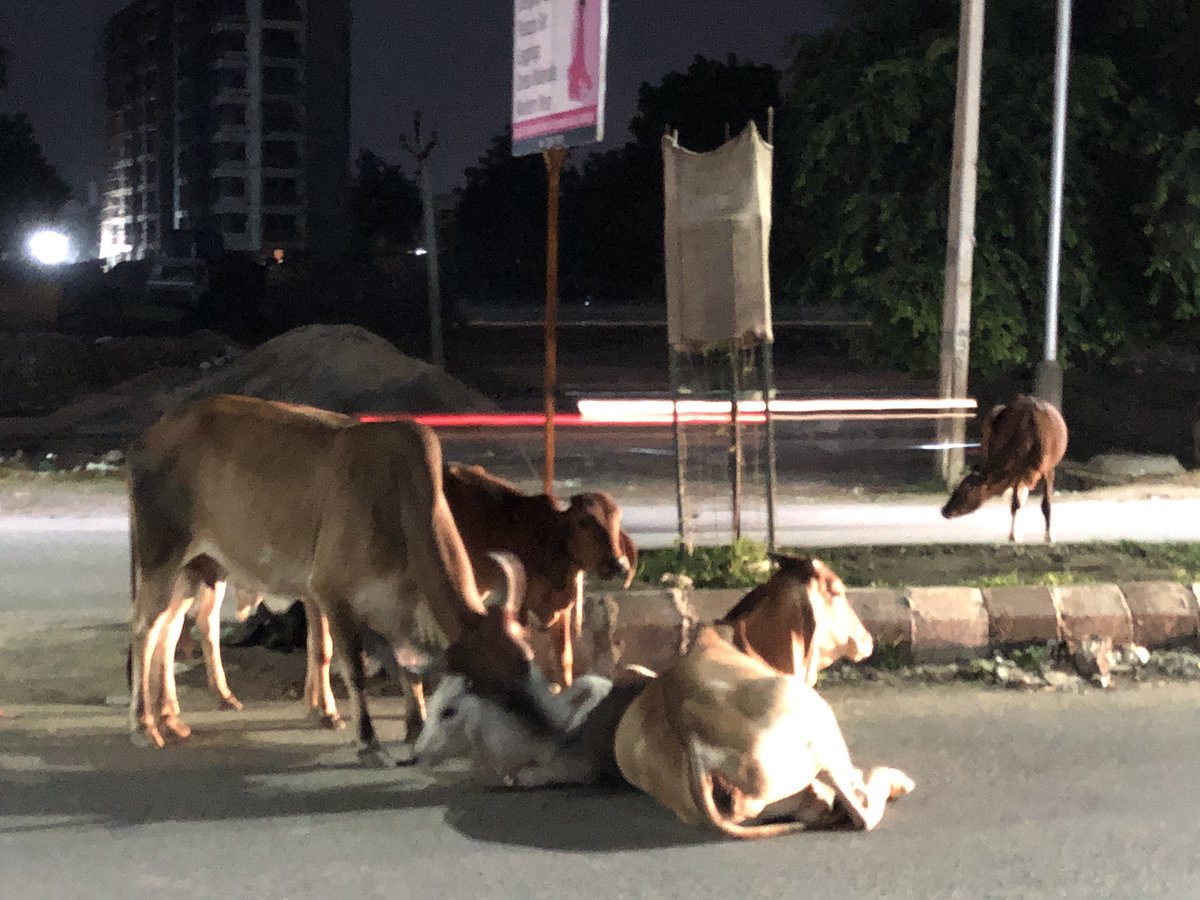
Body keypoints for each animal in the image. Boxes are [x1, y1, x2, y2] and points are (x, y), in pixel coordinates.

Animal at [446, 460, 638, 686]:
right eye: (582, 522)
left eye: (618, 521)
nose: (617, 564)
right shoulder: (519, 610)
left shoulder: (562, 613)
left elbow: (564, 659)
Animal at [936, 393, 1070, 542]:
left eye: (965, 490)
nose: (945, 510)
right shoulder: (1017, 470)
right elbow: (1015, 503)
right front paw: (1014, 535)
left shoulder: (1048, 468)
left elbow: (1045, 504)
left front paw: (1049, 535)